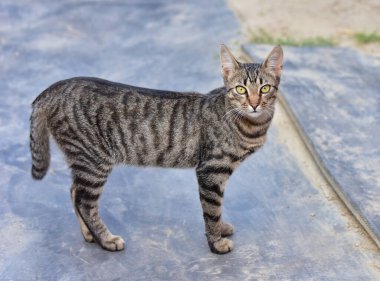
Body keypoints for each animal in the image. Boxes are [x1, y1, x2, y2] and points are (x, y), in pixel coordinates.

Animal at [30, 44, 282, 254]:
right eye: (240, 90)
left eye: (265, 88)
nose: (254, 104)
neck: (251, 126)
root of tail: (51, 90)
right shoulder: (211, 171)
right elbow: (212, 210)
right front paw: (216, 242)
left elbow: (217, 209)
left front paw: (221, 229)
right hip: (94, 161)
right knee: (84, 202)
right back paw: (106, 239)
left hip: (84, 162)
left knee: (74, 192)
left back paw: (88, 234)